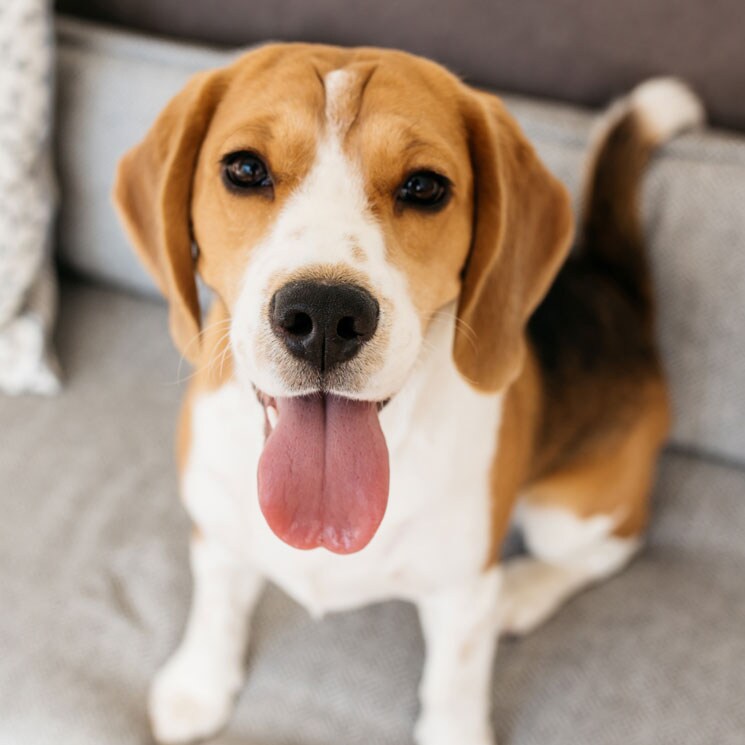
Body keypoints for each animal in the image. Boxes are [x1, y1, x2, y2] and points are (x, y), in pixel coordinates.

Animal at [113, 45, 700, 744]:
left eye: (424, 187)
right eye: (246, 169)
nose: (324, 314)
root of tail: (615, 291)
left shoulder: (461, 593)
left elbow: (454, 683)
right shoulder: (216, 530)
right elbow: (217, 608)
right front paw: (199, 685)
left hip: (563, 514)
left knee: (616, 544)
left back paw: (523, 591)